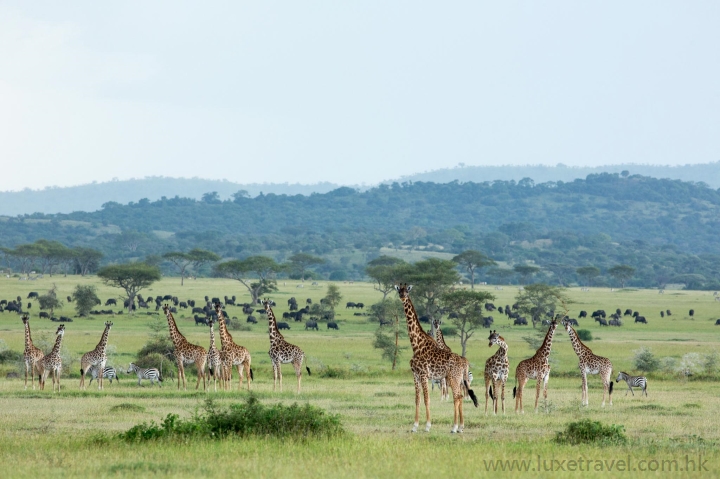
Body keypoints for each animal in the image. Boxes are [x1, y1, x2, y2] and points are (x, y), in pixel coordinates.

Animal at [394, 284, 478, 436]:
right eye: (399, 290)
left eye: (407, 290)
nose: (402, 297)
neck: (416, 345)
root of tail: (465, 363)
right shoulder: (415, 375)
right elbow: (417, 399)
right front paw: (414, 426)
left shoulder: (424, 375)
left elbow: (426, 399)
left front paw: (427, 426)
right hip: (457, 378)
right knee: (459, 397)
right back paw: (460, 427)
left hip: (453, 378)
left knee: (458, 397)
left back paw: (454, 427)